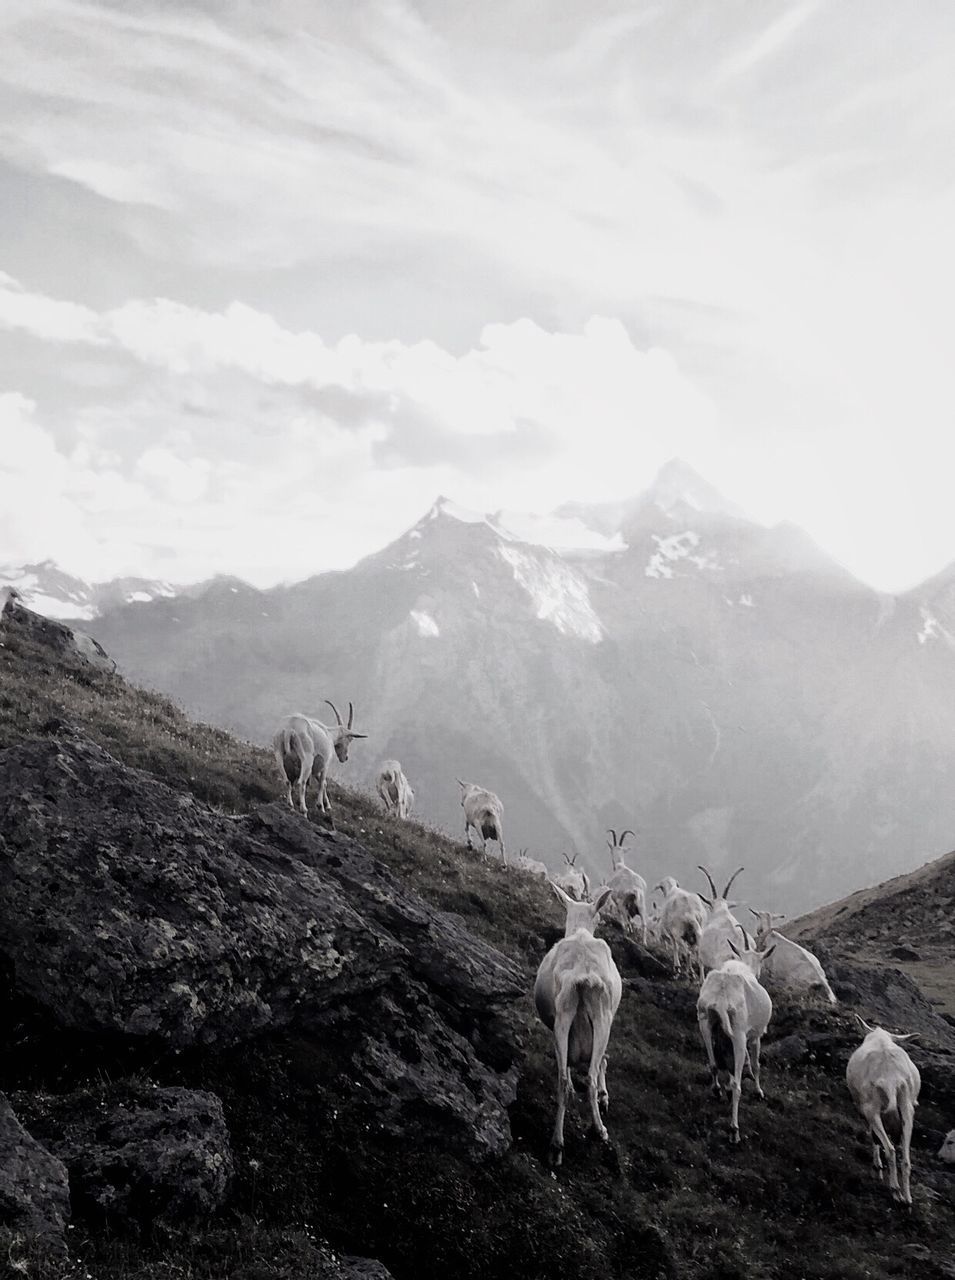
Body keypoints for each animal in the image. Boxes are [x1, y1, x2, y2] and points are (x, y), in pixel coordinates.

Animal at [532, 885, 622, 1167]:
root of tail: (583, 978)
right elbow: (602, 1062)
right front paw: (604, 1097)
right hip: (602, 1019)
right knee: (591, 1077)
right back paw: (599, 1130)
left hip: (562, 1019)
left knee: (562, 1080)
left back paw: (556, 1146)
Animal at [691, 931, 773, 1141]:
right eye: (761, 961)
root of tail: (721, 996)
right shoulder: (755, 1035)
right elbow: (756, 1065)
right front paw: (759, 1091)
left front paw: (725, 1088)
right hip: (738, 1034)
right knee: (737, 1084)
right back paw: (734, 1129)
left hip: (705, 1020)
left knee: (713, 1064)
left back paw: (717, 1090)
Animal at [844, 1013, 916, 1203]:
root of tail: (891, 1078)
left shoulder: (862, 1106)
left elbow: (873, 1136)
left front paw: (877, 1166)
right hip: (907, 1109)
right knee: (906, 1159)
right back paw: (907, 1198)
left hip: (871, 1108)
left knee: (889, 1149)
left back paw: (895, 1191)